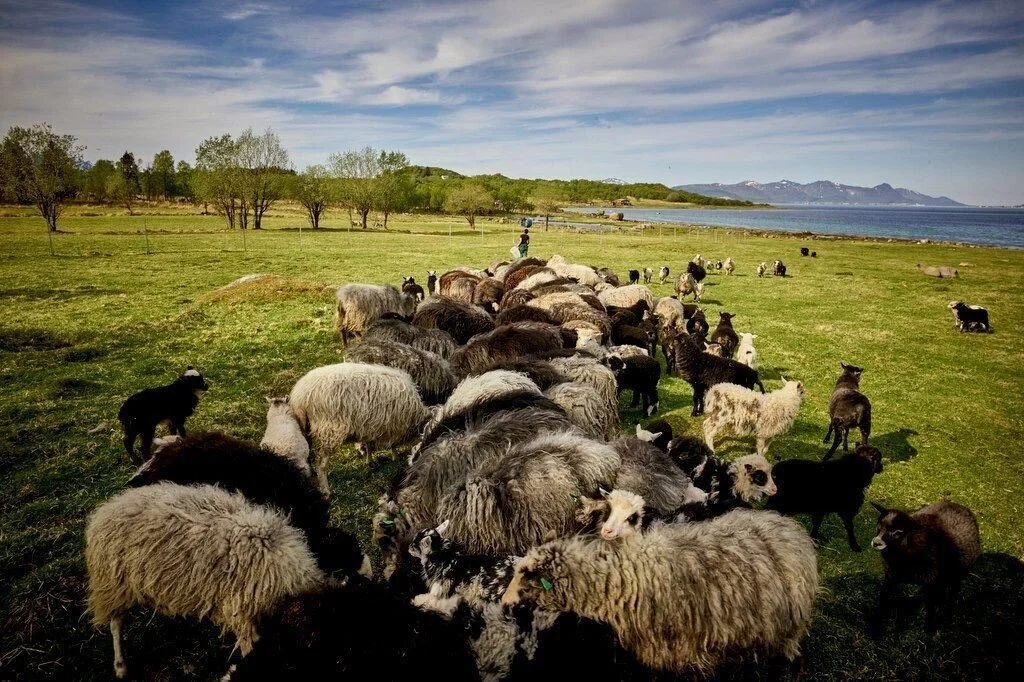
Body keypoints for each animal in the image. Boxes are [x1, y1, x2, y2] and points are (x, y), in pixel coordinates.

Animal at [86, 483, 330, 679]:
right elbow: (249, 646)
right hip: (115, 584)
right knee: (116, 623)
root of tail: (108, 508)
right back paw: (120, 666)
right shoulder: (241, 611)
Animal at [290, 363, 431, 488]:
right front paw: (394, 456)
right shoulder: (394, 425)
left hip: (305, 429)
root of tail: (300, 397)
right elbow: (392, 444)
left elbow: (368, 443)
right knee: (321, 465)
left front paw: (370, 460)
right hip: (330, 431)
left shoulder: (369, 425)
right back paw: (326, 490)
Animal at [501, 509, 818, 674]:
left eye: (526, 577)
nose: (504, 602)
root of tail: (791, 529)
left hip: (787, 626)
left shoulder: (676, 646)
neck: (624, 579)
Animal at [871, 497, 981, 632]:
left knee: (953, 591)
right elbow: (883, 596)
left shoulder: (931, 581)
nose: (876, 543)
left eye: (897, 532)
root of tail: (958, 505)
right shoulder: (890, 576)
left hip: (957, 572)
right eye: (879, 526)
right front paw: (877, 623)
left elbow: (930, 606)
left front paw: (929, 629)